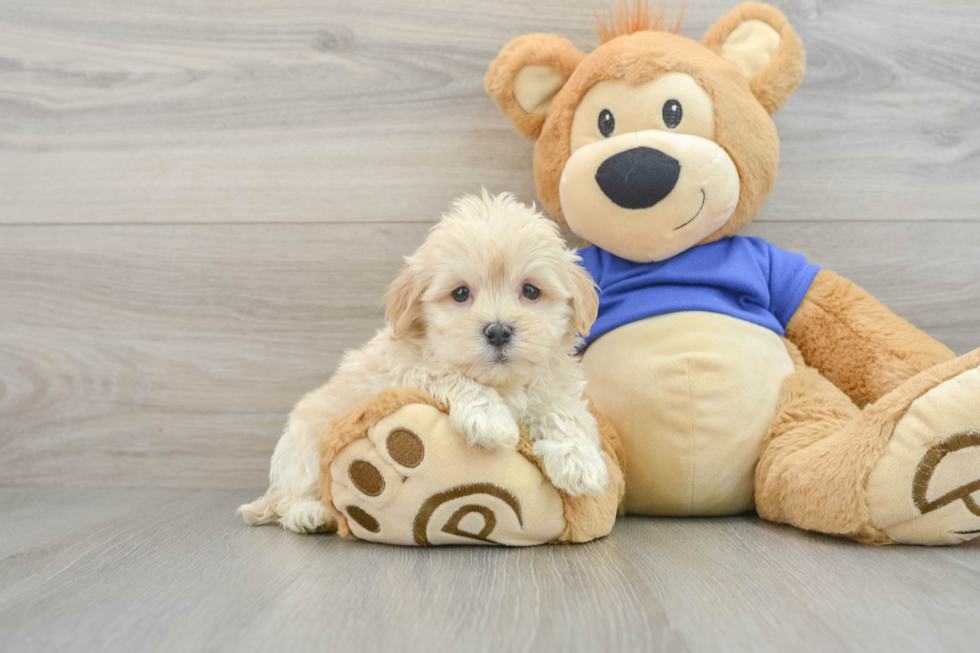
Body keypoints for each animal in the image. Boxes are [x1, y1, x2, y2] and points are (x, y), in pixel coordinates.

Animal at [239, 187, 604, 528]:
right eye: (460, 293)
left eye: (530, 291)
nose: (499, 331)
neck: (502, 383)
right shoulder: (403, 372)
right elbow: (444, 373)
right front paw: (491, 419)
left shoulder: (551, 383)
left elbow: (564, 410)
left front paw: (580, 461)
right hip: (303, 450)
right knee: (289, 497)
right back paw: (309, 514)